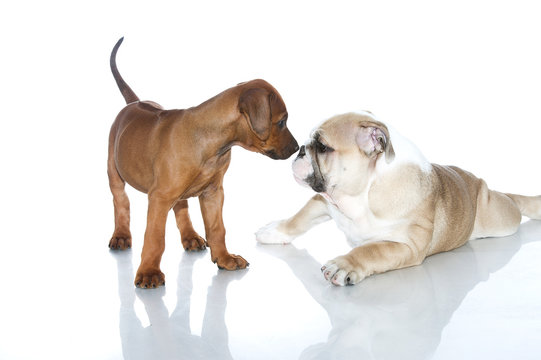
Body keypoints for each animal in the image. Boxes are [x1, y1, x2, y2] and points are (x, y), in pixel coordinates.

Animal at [107, 38, 298, 288]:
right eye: (282, 121)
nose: (297, 148)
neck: (215, 144)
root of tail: (135, 102)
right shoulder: (159, 197)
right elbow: (155, 237)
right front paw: (149, 272)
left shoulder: (213, 193)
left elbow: (217, 228)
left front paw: (225, 258)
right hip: (114, 169)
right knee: (121, 201)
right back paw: (121, 235)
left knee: (181, 207)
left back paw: (190, 237)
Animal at [256, 111, 540, 286]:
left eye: (323, 147)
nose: (300, 150)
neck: (360, 197)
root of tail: (479, 182)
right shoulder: (324, 202)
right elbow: (299, 218)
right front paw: (274, 231)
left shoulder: (406, 246)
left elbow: (371, 249)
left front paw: (345, 263)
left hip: (501, 219)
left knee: (513, 203)